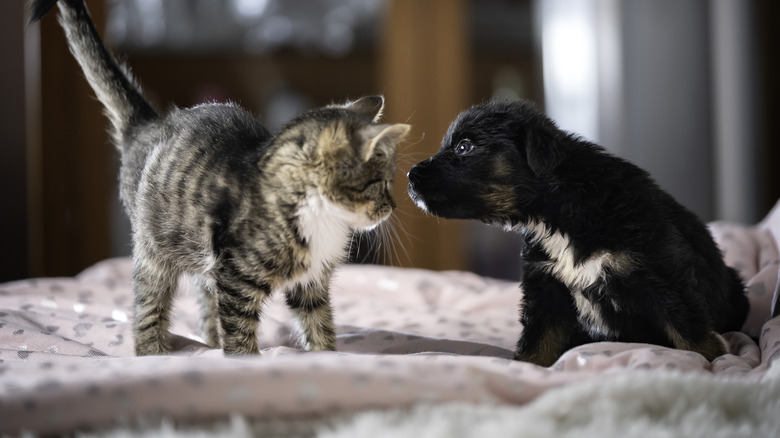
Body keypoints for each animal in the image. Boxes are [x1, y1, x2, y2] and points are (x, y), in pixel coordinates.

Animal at [29, 0, 408, 356]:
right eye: (380, 183)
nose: (392, 207)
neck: (320, 218)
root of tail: (150, 125)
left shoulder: (309, 284)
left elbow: (319, 325)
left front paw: (326, 358)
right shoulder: (235, 278)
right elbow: (239, 333)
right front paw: (246, 360)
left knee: (204, 301)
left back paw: (209, 344)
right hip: (153, 249)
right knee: (149, 305)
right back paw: (153, 353)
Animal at [408, 99, 748, 366]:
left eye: (464, 147)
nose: (410, 176)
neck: (558, 213)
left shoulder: (663, 276)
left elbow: (692, 332)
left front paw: (720, 366)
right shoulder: (546, 289)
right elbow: (537, 342)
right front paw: (525, 368)